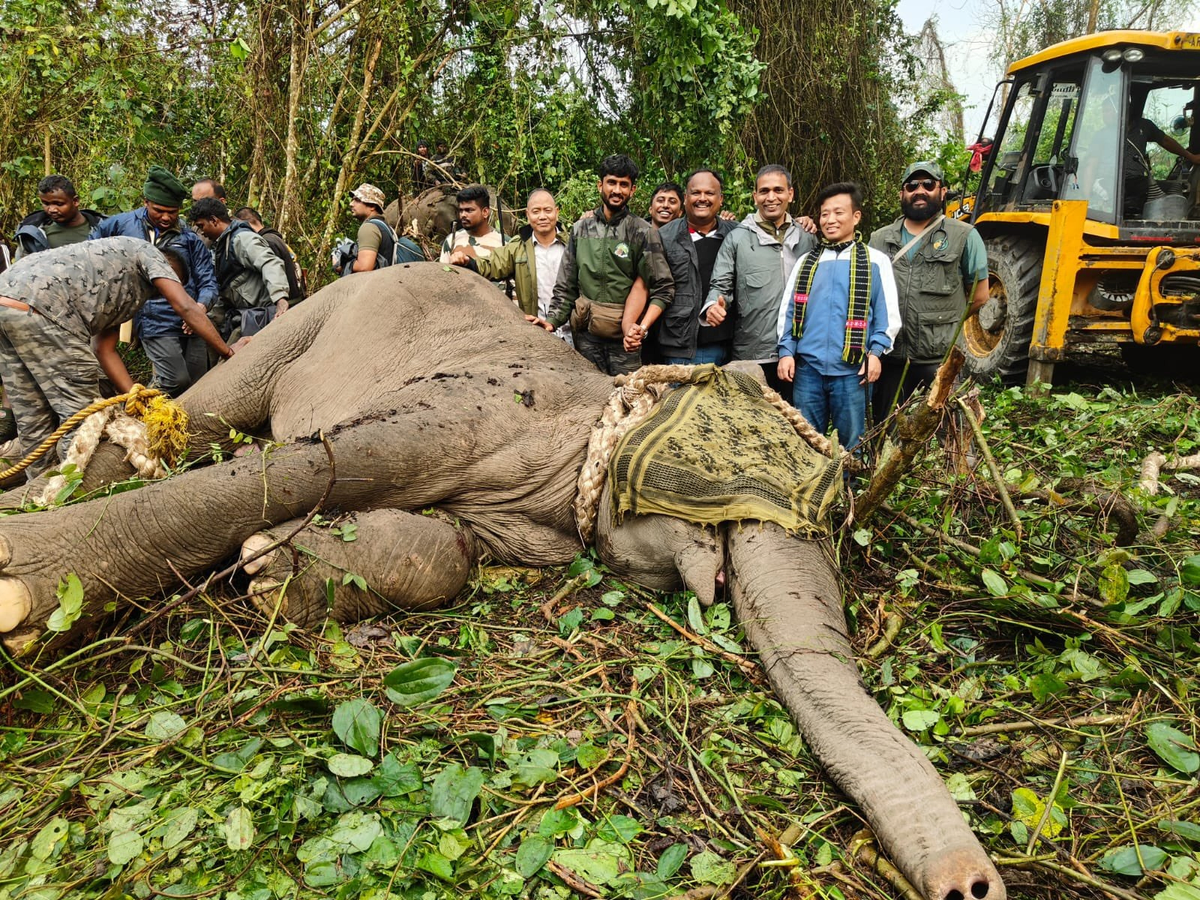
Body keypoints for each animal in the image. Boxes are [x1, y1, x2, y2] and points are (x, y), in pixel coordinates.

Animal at [0, 263, 1004, 900]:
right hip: (312, 312)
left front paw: (269, 567)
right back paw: (43, 486)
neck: (595, 415)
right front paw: (22, 588)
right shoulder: (470, 406)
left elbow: (451, 553)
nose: (973, 885)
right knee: (200, 414)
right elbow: (318, 461)